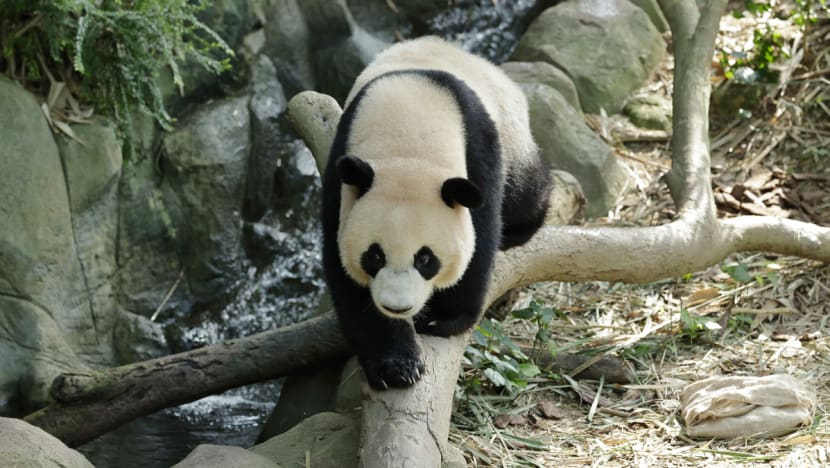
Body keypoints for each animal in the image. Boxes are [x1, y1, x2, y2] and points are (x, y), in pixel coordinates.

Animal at [321, 36, 551, 390]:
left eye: (425, 259)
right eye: (374, 256)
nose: (397, 306)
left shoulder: (478, 149)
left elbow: (480, 239)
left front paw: (443, 318)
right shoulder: (343, 173)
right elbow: (343, 270)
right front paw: (395, 364)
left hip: (511, 133)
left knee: (525, 192)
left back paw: (522, 226)